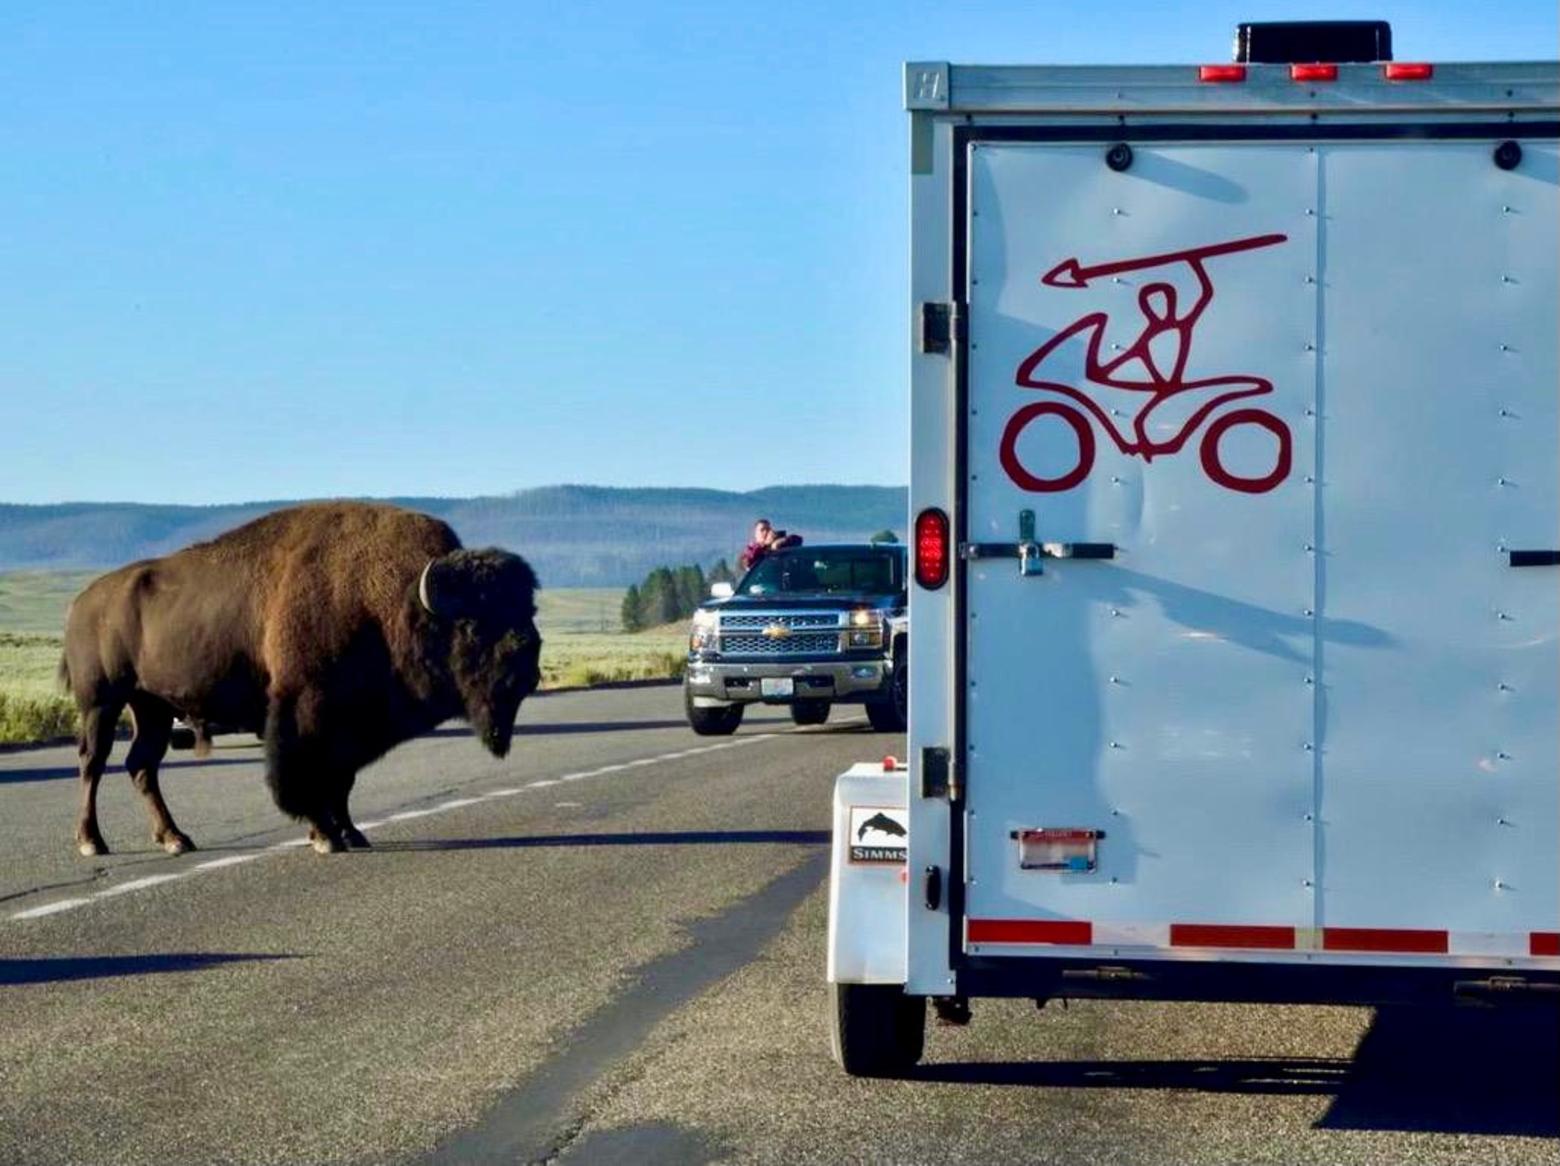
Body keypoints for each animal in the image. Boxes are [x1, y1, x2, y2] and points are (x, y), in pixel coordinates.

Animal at [59, 502, 542, 855]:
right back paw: (92, 842)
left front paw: (351, 833)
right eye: (474, 625)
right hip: (102, 702)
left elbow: (341, 781)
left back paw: (175, 839)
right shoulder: (306, 711)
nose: (528, 667)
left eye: (528, 609)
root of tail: (82, 602)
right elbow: (303, 776)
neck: (394, 600)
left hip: (152, 706)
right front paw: (325, 837)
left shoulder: (353, 726)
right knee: (93, 762)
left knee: (142, 765)